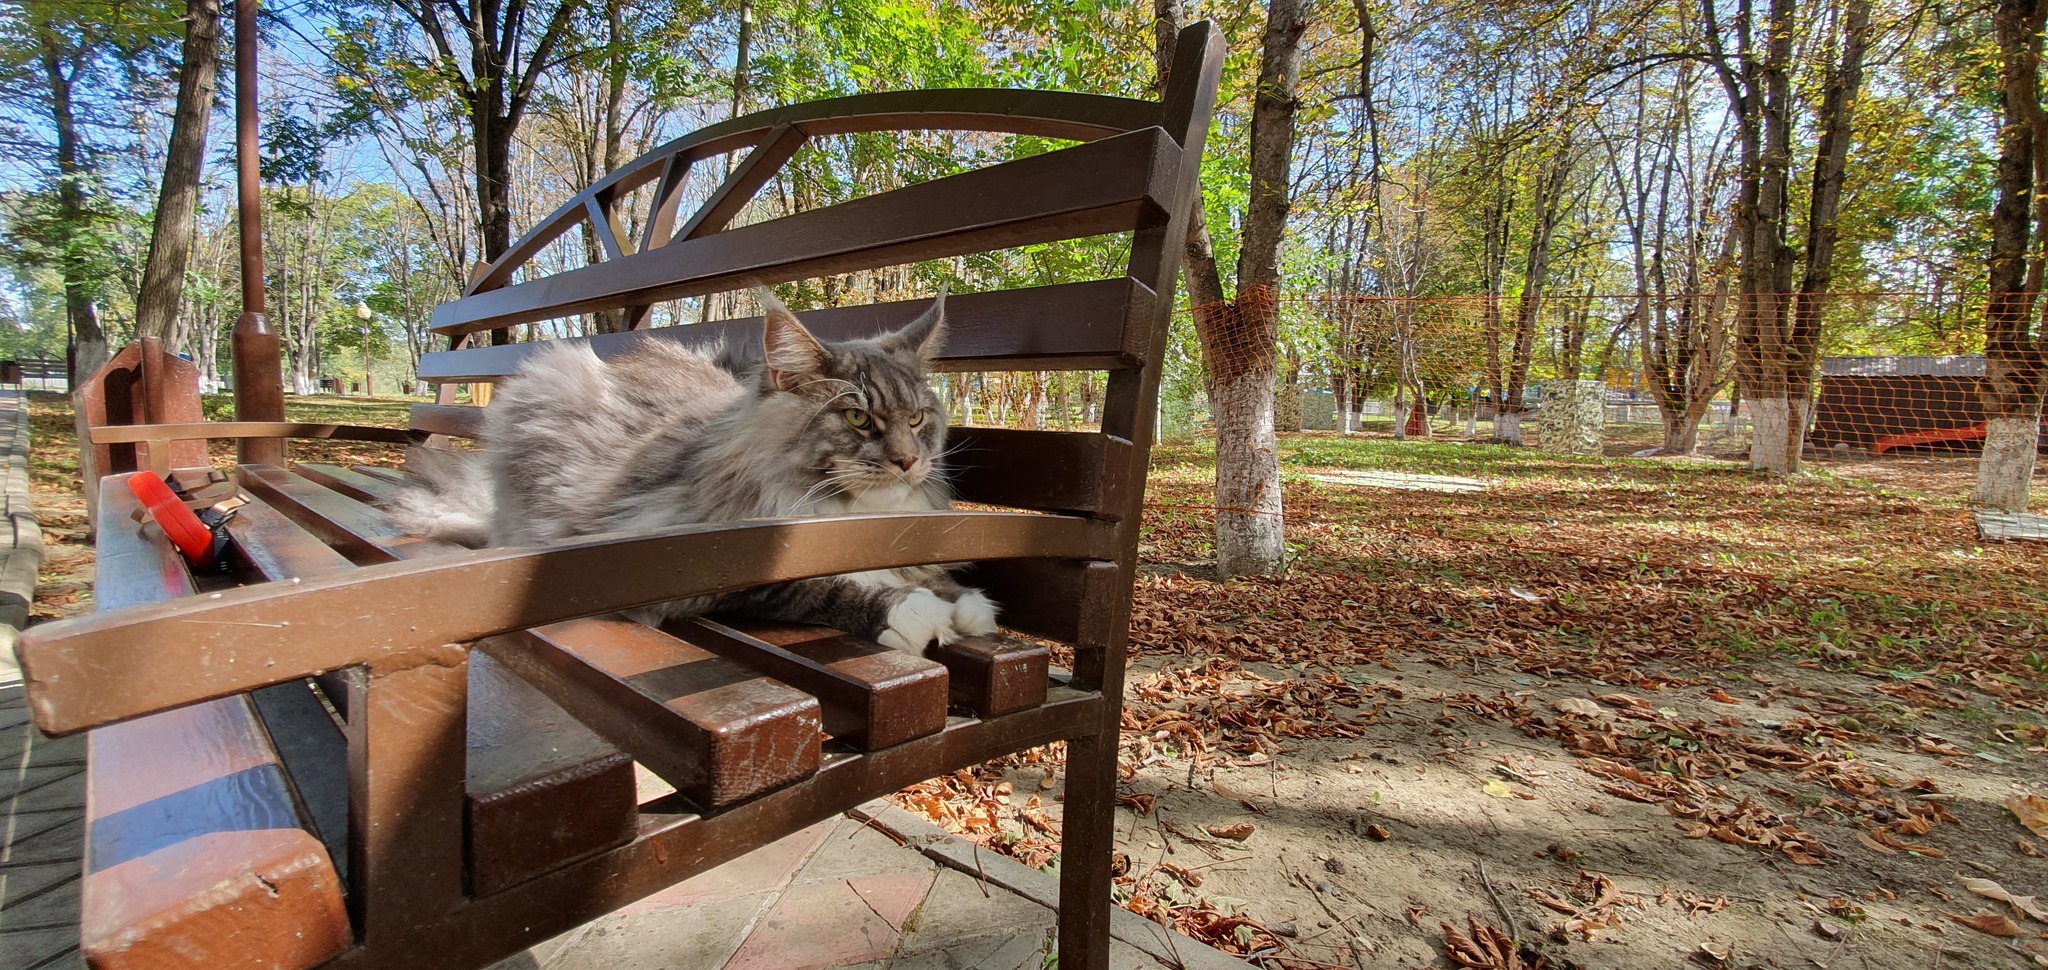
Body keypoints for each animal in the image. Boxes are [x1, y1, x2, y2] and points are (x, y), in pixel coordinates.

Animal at [391, 290, 999, 650]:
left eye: (917, 418)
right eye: (858, 417)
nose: (908, 459)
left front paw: (964, 602)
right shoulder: (683, 560)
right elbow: (818, 586)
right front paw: (913, 611)